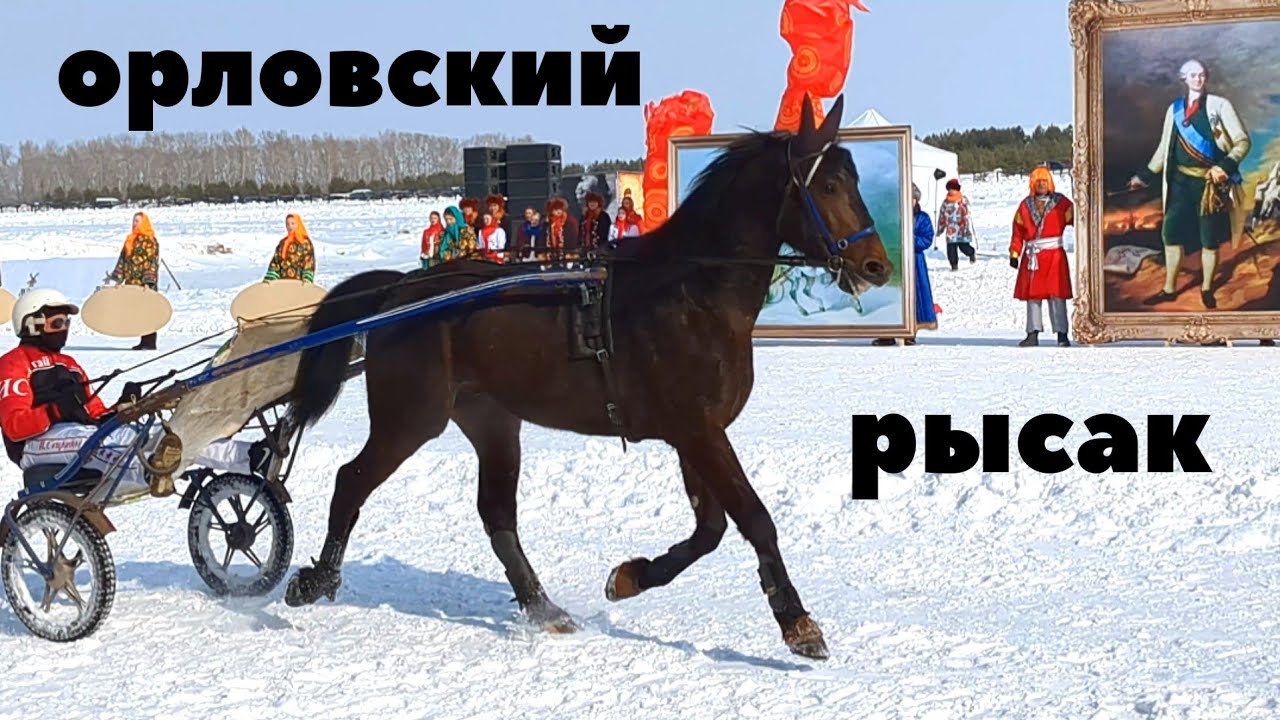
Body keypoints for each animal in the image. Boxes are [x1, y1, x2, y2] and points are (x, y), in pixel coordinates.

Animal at [282, 94, 891, 660]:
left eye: (853, 178)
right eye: (829, 185)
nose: (876, 265)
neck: (692, 293)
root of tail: (399, 289)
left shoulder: (694, 433)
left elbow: (710, 530)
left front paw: (630, 576)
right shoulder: (698, 431)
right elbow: (753, 519)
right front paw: (798, 623)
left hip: (492, 420)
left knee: (496, 512)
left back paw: (542, 605)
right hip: (410, 417)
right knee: (351, 480)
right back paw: (316, 580)